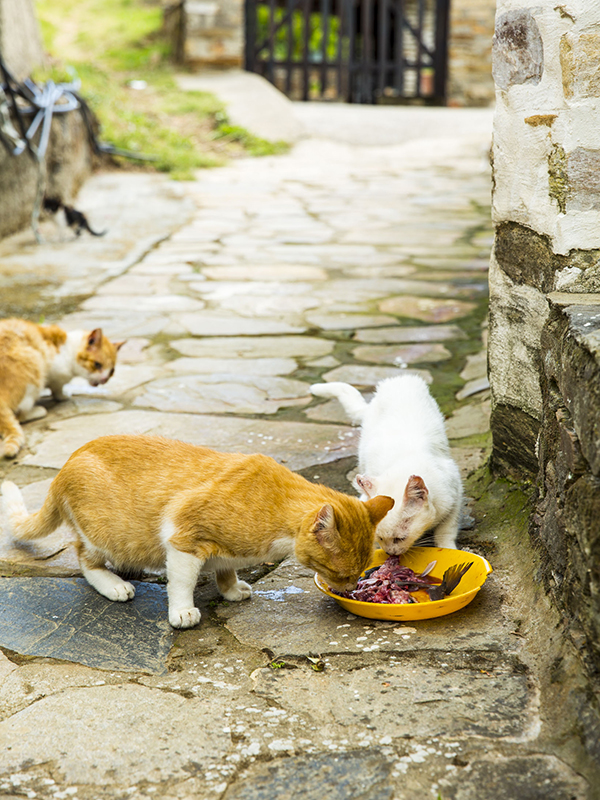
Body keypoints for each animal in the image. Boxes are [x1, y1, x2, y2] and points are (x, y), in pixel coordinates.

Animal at [0, 318, 123, 456]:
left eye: (112, 371)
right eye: (97, 364)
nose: (104, 379)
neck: (68, 347)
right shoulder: (56, 372)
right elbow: (57, 387)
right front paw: (63, 395)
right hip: (35, 366)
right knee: (19, 415)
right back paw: (39, 410)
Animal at [1, 434, 394, 628]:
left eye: (358, 573)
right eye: (339, 573)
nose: (349, 588)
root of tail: (67, 463)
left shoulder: (223, 549)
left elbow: (226, 568)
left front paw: (232, 590)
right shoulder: (184, 538)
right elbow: (182, 583)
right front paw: (182, 611)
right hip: (107, 536)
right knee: (84, 557)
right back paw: (114, 585)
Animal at [310, 376, 464, 556]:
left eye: (400, 538)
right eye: (380, 538)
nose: (391, 553)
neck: (404, 462)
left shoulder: (455, 492)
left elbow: (447, 528)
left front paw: (448, 548)